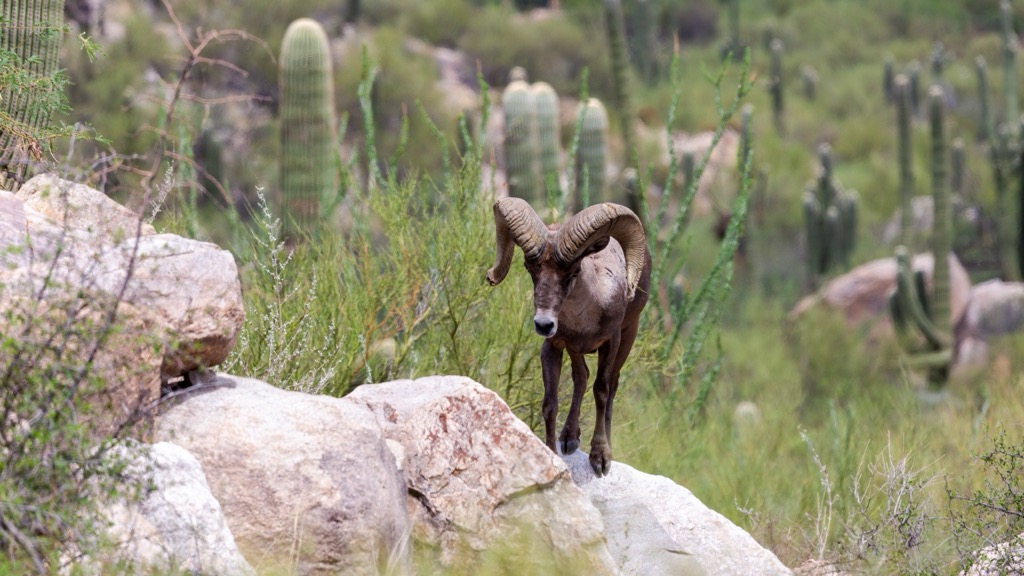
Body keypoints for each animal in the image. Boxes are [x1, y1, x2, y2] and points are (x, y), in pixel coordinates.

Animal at [486, 198, 651, 476]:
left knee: (610, 385)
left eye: (573, 272)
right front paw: (553, 456)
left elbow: (602, 391)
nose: (544, 324)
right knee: (581, 376)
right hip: (575, 351)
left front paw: (600, 459)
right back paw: (569, 439)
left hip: (628, 338)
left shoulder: (612, 343)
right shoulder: (553, 347)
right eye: (529, 268)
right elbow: (550, 404)